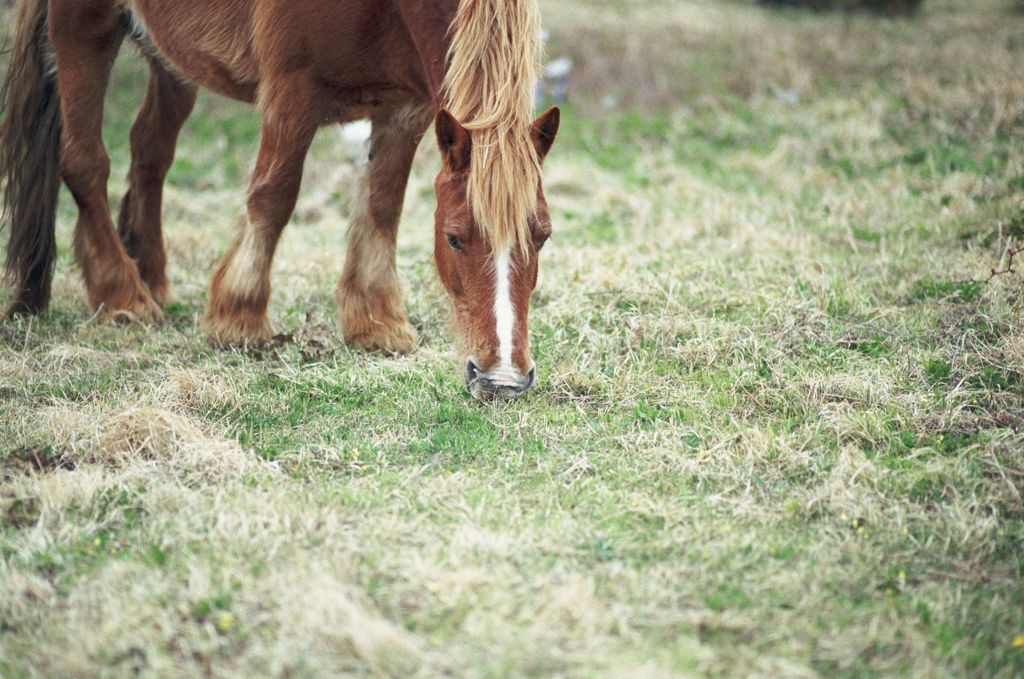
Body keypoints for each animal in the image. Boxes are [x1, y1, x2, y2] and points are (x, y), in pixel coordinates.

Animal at [0, 0, 561, 401]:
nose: (503, 380)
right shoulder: (292, 93)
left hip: (169, 59)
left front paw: (376, 322)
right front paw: (239, 315)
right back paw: (123, 297)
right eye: (454, 238)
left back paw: (153, 282)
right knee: (84, 161)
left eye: (542, 237)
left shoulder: (408, 109)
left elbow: (382, 204)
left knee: (149, 153)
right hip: (84, 28)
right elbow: (274, 195)